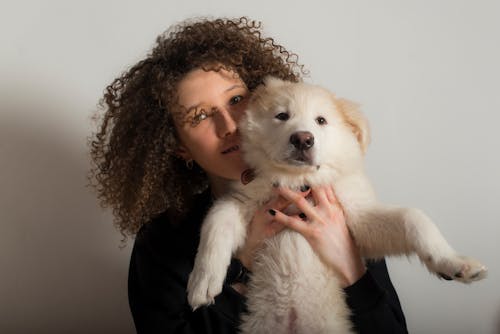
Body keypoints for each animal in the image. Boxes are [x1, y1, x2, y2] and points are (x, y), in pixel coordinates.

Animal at [186, 77, 486, 332]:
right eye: (282, 116)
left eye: (321, 120)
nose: (303, 139)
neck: (299, 182)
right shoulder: (245, 202)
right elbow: (216, 221)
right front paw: (203, 281)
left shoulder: (358, 220)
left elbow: (412, 217)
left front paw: (454, 263)